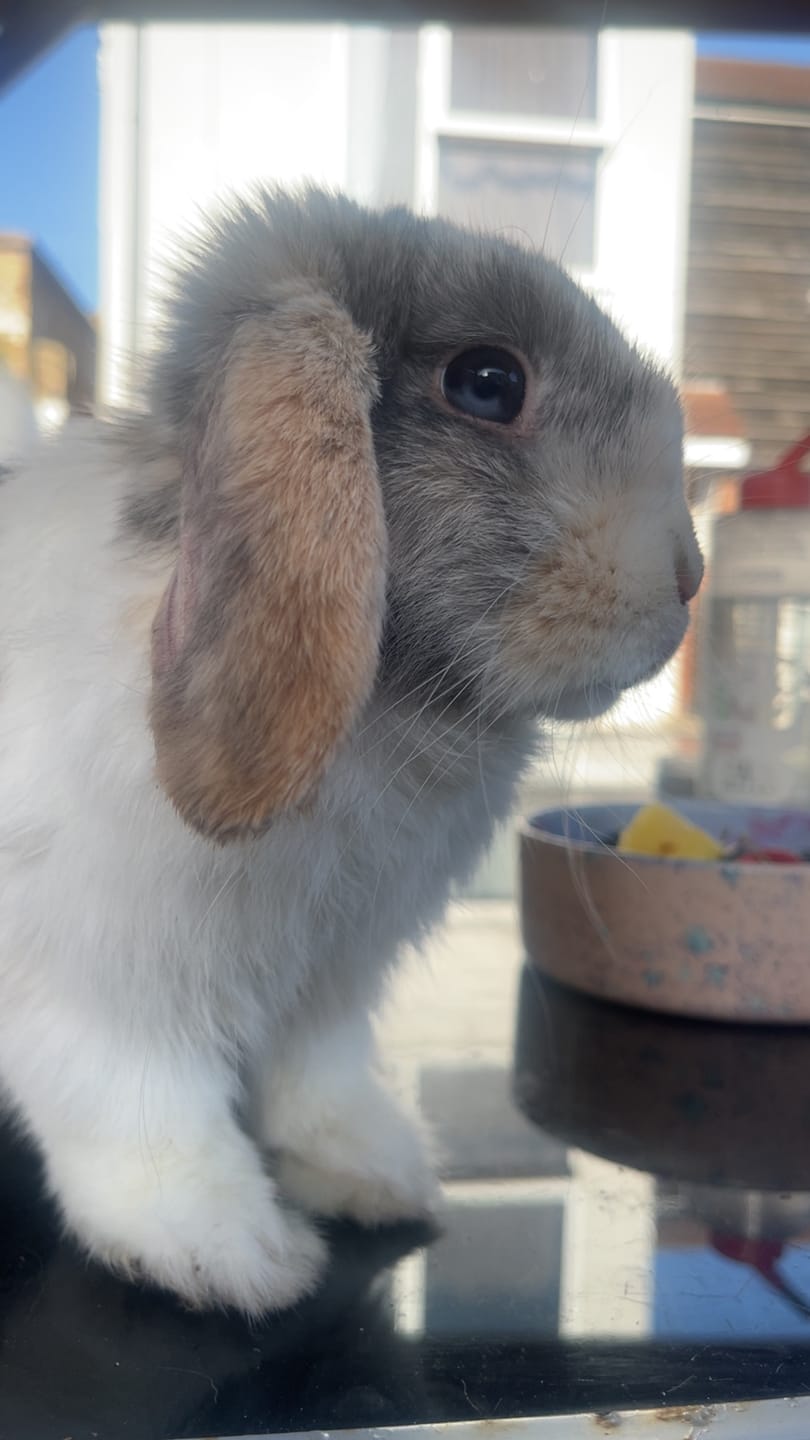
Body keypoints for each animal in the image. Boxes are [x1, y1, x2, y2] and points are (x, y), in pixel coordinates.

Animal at [0, 186, 702, 1317]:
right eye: (488, 382)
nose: (689, 574)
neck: (383, 720)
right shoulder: (101, 991)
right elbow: (144, 1115)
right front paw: (226, 1251)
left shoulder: (330, 985)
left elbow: (316, 1082)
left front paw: (377, 1173)